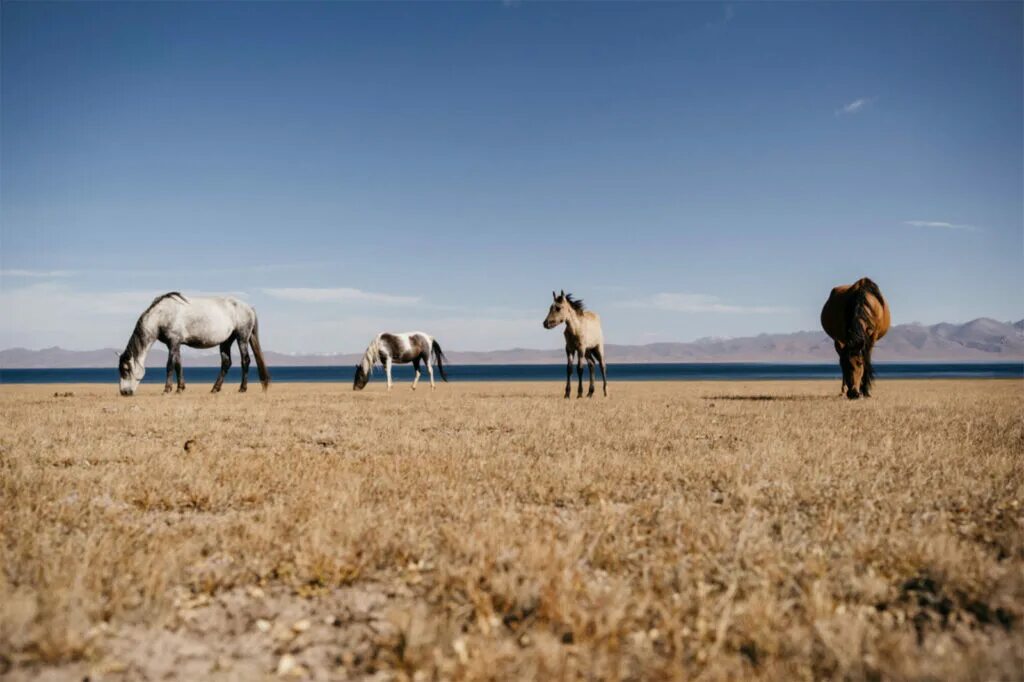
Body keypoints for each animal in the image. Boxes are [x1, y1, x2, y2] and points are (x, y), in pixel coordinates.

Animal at [116, 290, 270, 395]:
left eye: (125, 369)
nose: (124, 392)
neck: (162, 314)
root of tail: (249, 308)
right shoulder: (175, 344)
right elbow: (178, 365)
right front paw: (180, 388)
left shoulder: (173, 342)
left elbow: (170, 365)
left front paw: (167, 389)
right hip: (226, 341)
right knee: (226, 363)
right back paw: (215, 388)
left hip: (241, 337)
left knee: (245, 360)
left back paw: (242, 388)